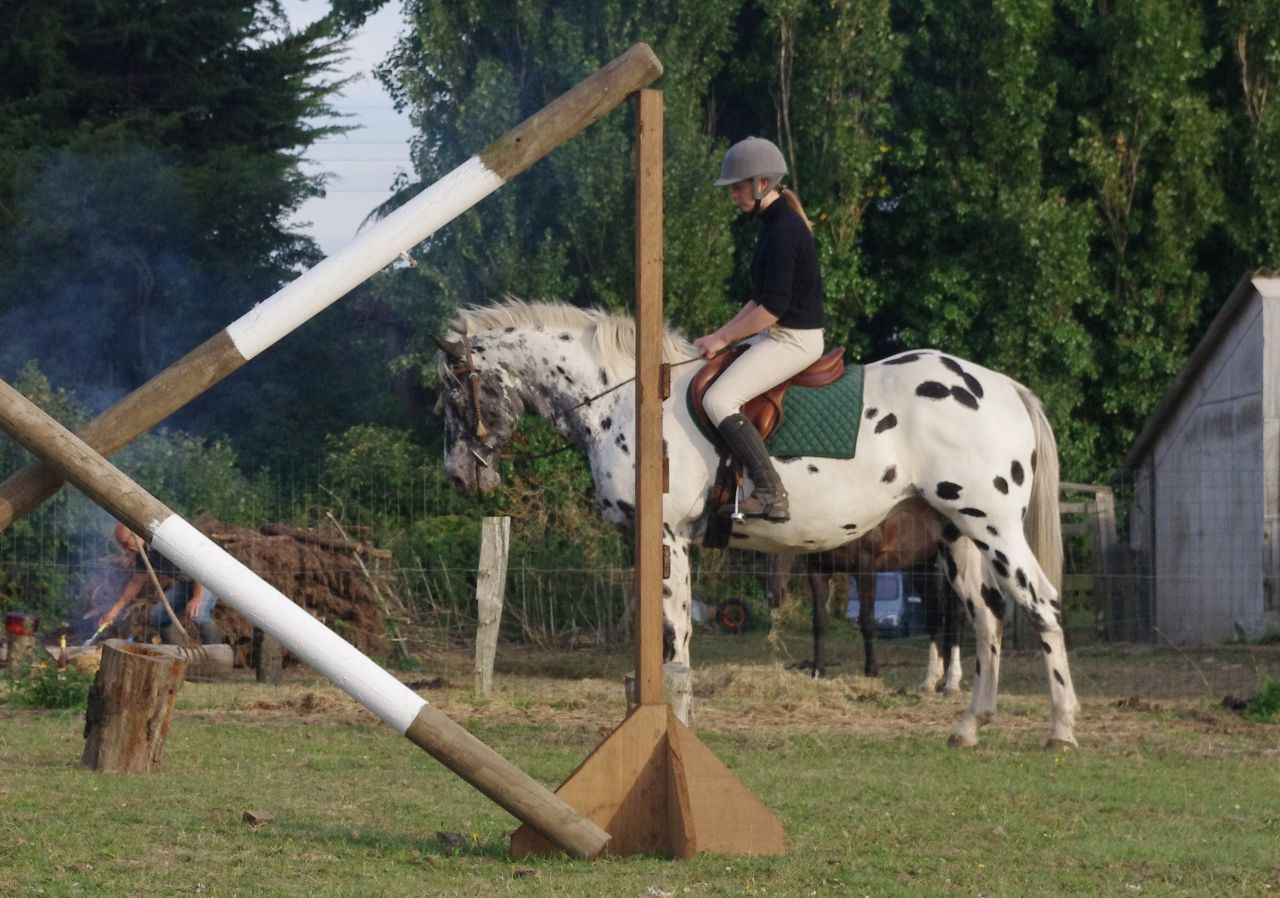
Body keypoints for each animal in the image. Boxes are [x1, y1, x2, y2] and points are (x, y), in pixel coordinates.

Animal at [765, 497, 965, 694]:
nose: (774, 596)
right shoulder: (818, 570)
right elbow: (819, 621)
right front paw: (817, 672)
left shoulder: (865, 566)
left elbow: (867, 619)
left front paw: (871, 671)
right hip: (920, 564)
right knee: (936, 614)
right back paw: (932, 681)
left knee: (956, 614)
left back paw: (952, 682)